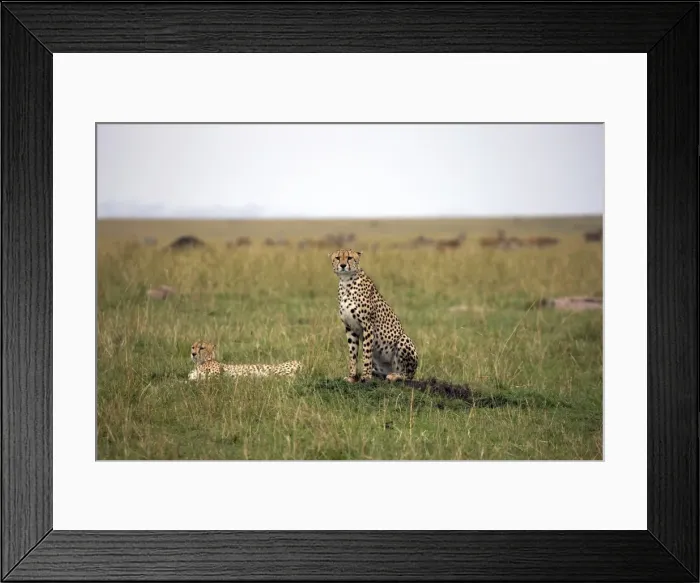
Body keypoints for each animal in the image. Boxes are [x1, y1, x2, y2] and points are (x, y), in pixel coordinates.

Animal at [329, 248, 418, 383]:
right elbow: (353, 354)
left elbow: (366, 353)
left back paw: (395, 376)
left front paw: (366, 376)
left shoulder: (367, 325)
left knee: (408, 374)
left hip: (403, 339)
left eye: (349, 258)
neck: (346, 281)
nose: (343, 265)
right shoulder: (349, 328)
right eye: (338, 258)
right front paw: (352, 376)